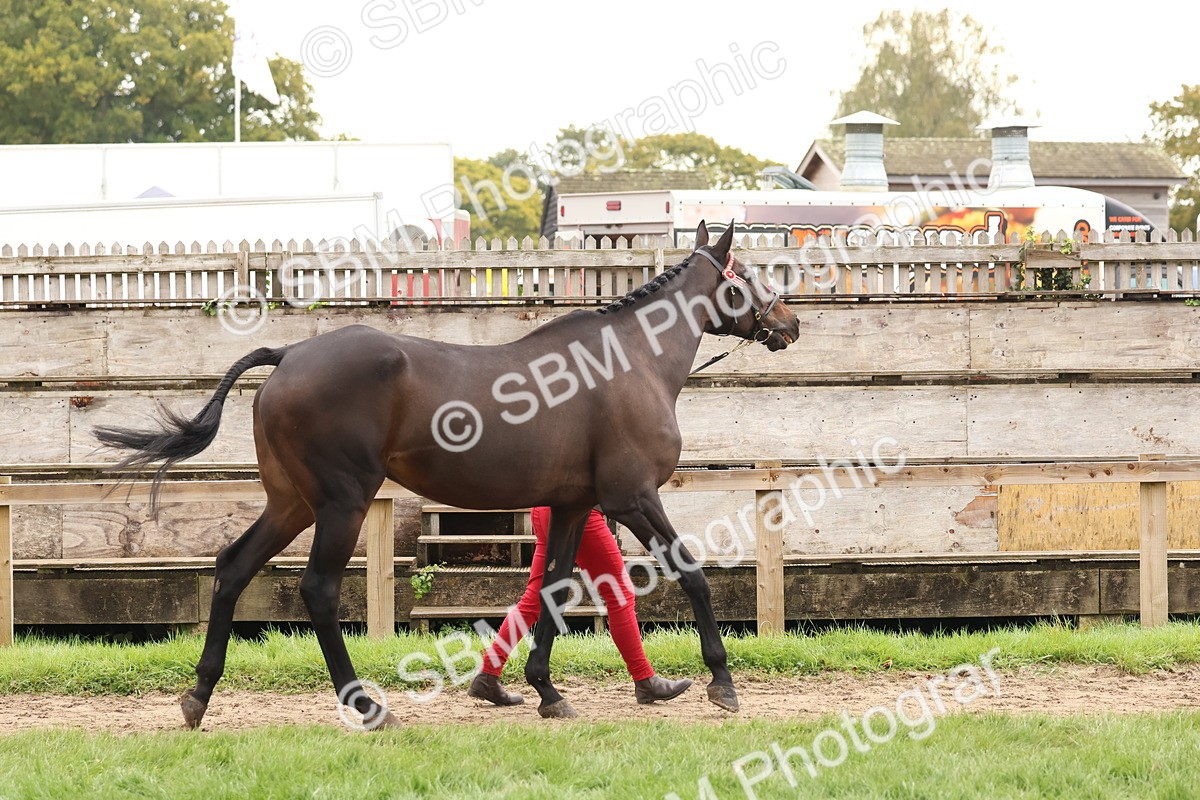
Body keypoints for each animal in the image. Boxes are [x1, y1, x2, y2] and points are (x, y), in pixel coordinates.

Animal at [94, 221, 801, 727]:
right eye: (748, 273)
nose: (790, 322)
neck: (629, 364)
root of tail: (290, 353)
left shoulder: (574, 505)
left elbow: (553, 588)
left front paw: (546, 691)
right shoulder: (633, 497)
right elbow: (692, 573)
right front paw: (721, 682)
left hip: (291, 503)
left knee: (233, 568)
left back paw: (198, 696)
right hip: (341, 504)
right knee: (319, 590)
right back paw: (365, 706)